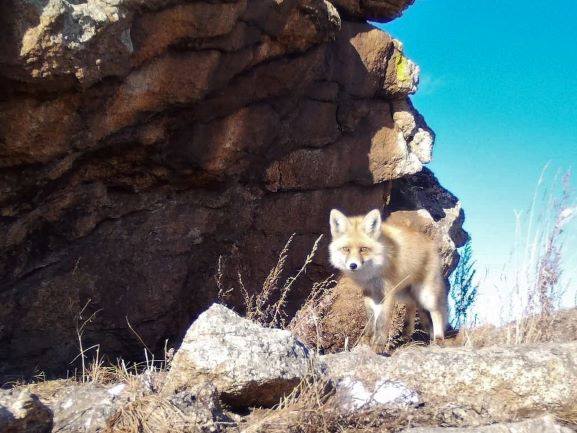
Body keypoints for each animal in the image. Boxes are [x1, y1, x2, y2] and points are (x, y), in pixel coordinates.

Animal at [328, 207, 446, 352]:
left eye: (363, 249)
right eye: (346, 249)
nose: (353, 265)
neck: (373, 271)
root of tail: (431, 243)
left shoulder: (387, 292)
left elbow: (381, 321)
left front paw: (378, 346)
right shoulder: (369, 292)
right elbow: (371, 320)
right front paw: (366, 341)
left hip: (425, 294)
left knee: (436, 312)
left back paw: (438, 339)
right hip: (405, 293)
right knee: (412, 306)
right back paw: (406, 338)